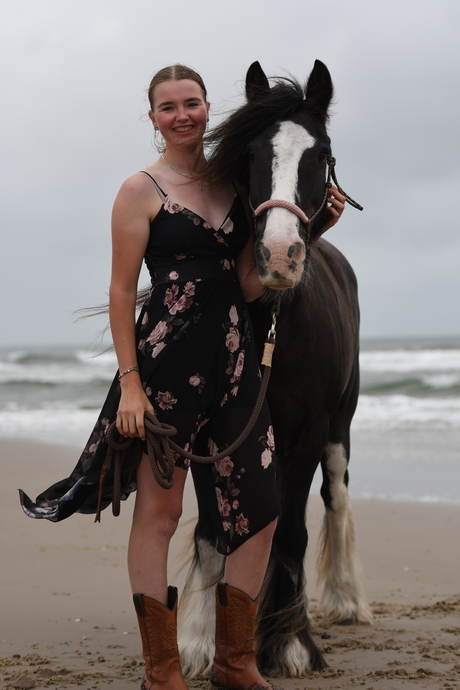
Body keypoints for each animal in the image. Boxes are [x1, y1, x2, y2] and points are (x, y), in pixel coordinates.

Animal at [177, 59, 372, 679]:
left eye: (322, 153)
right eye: (250, 154)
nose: (280, 257)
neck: (275, 328)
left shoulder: (307, 434)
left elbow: (291, 530)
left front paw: (289, 644)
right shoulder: (214, 435)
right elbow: (214, 531)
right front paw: (198, 642)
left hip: (337, 431)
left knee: (335, 498)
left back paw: (344, 601)